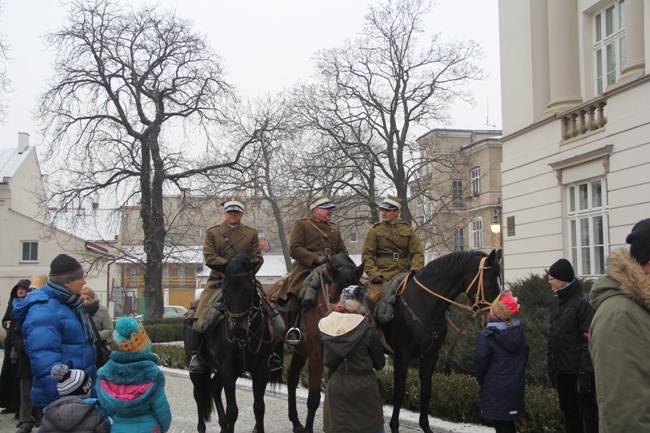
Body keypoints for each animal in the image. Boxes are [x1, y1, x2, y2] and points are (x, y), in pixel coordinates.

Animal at [184, 251, 282, 432]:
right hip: (197, 367)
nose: (237, 329)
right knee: (199, 395)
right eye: (224, 289)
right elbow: (233, 410)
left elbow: (259, 407)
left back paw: (223, 425)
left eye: (247, 288)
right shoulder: (228, 369)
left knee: (214, 387)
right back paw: (203, 427)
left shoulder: (260, 369)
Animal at [380, 248, 502, 430]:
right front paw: (394, 425)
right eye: (489, 284)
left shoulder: (431, 356)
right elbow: (399, 392)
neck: (424, 303)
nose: (492, 316)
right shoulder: (402, 355)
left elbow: (426, 391)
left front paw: (425, 425)